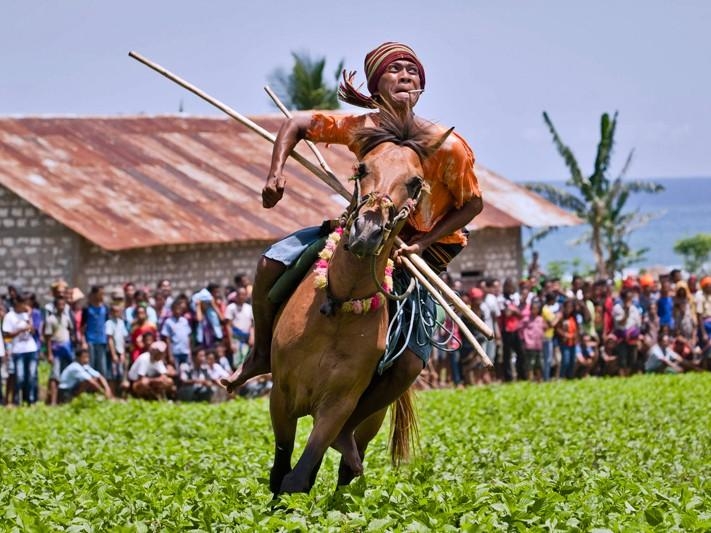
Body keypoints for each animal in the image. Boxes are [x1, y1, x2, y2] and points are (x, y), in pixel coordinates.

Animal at [268, 109, 450, 494]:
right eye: (362, 168)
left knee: (347, 463)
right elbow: (281, 472)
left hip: (371, 418)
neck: (339, 307)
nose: (367, 231)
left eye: (415, 182)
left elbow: (298, 477)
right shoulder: (281, 396)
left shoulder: (337, 406)